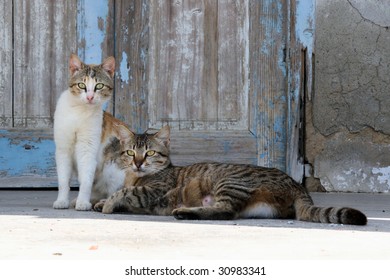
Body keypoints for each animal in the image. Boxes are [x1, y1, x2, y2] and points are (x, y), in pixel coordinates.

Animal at [52, 53, 126, 210]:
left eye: (99, 86)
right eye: (82, 85)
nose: (90, 97)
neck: (79, 112)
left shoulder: (88, 148)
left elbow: (86, 178)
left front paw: (83, 202)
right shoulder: (63, 149)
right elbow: (63, 180)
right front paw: (62, 201)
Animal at [93, 124, 366, 225]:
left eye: (149, 153)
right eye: (130, 152)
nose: (138, 163)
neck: (135, 176)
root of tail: (297, 185)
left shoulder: (152, 190)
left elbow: (127, 191)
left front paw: (108, 203)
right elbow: (121, 191)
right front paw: (101, 201)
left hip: (229, 182)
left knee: (224, 211)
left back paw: (184, 212)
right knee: (230, 211)